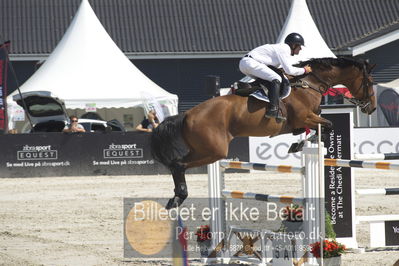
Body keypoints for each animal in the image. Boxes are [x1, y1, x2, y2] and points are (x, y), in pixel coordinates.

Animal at [152, 56, 376, 210]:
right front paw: (300, 144)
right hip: (214, 151)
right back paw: (179, 196)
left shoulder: (306, 120)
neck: (308, 84)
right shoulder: (305, 117)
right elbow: (327, 125)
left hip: (203, 149)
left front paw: (300, 143)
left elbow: (317, 127)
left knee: (178, 164)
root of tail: (186, 115)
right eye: (369, 83)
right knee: (179, 164)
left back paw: (175, 198)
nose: (371, 108)